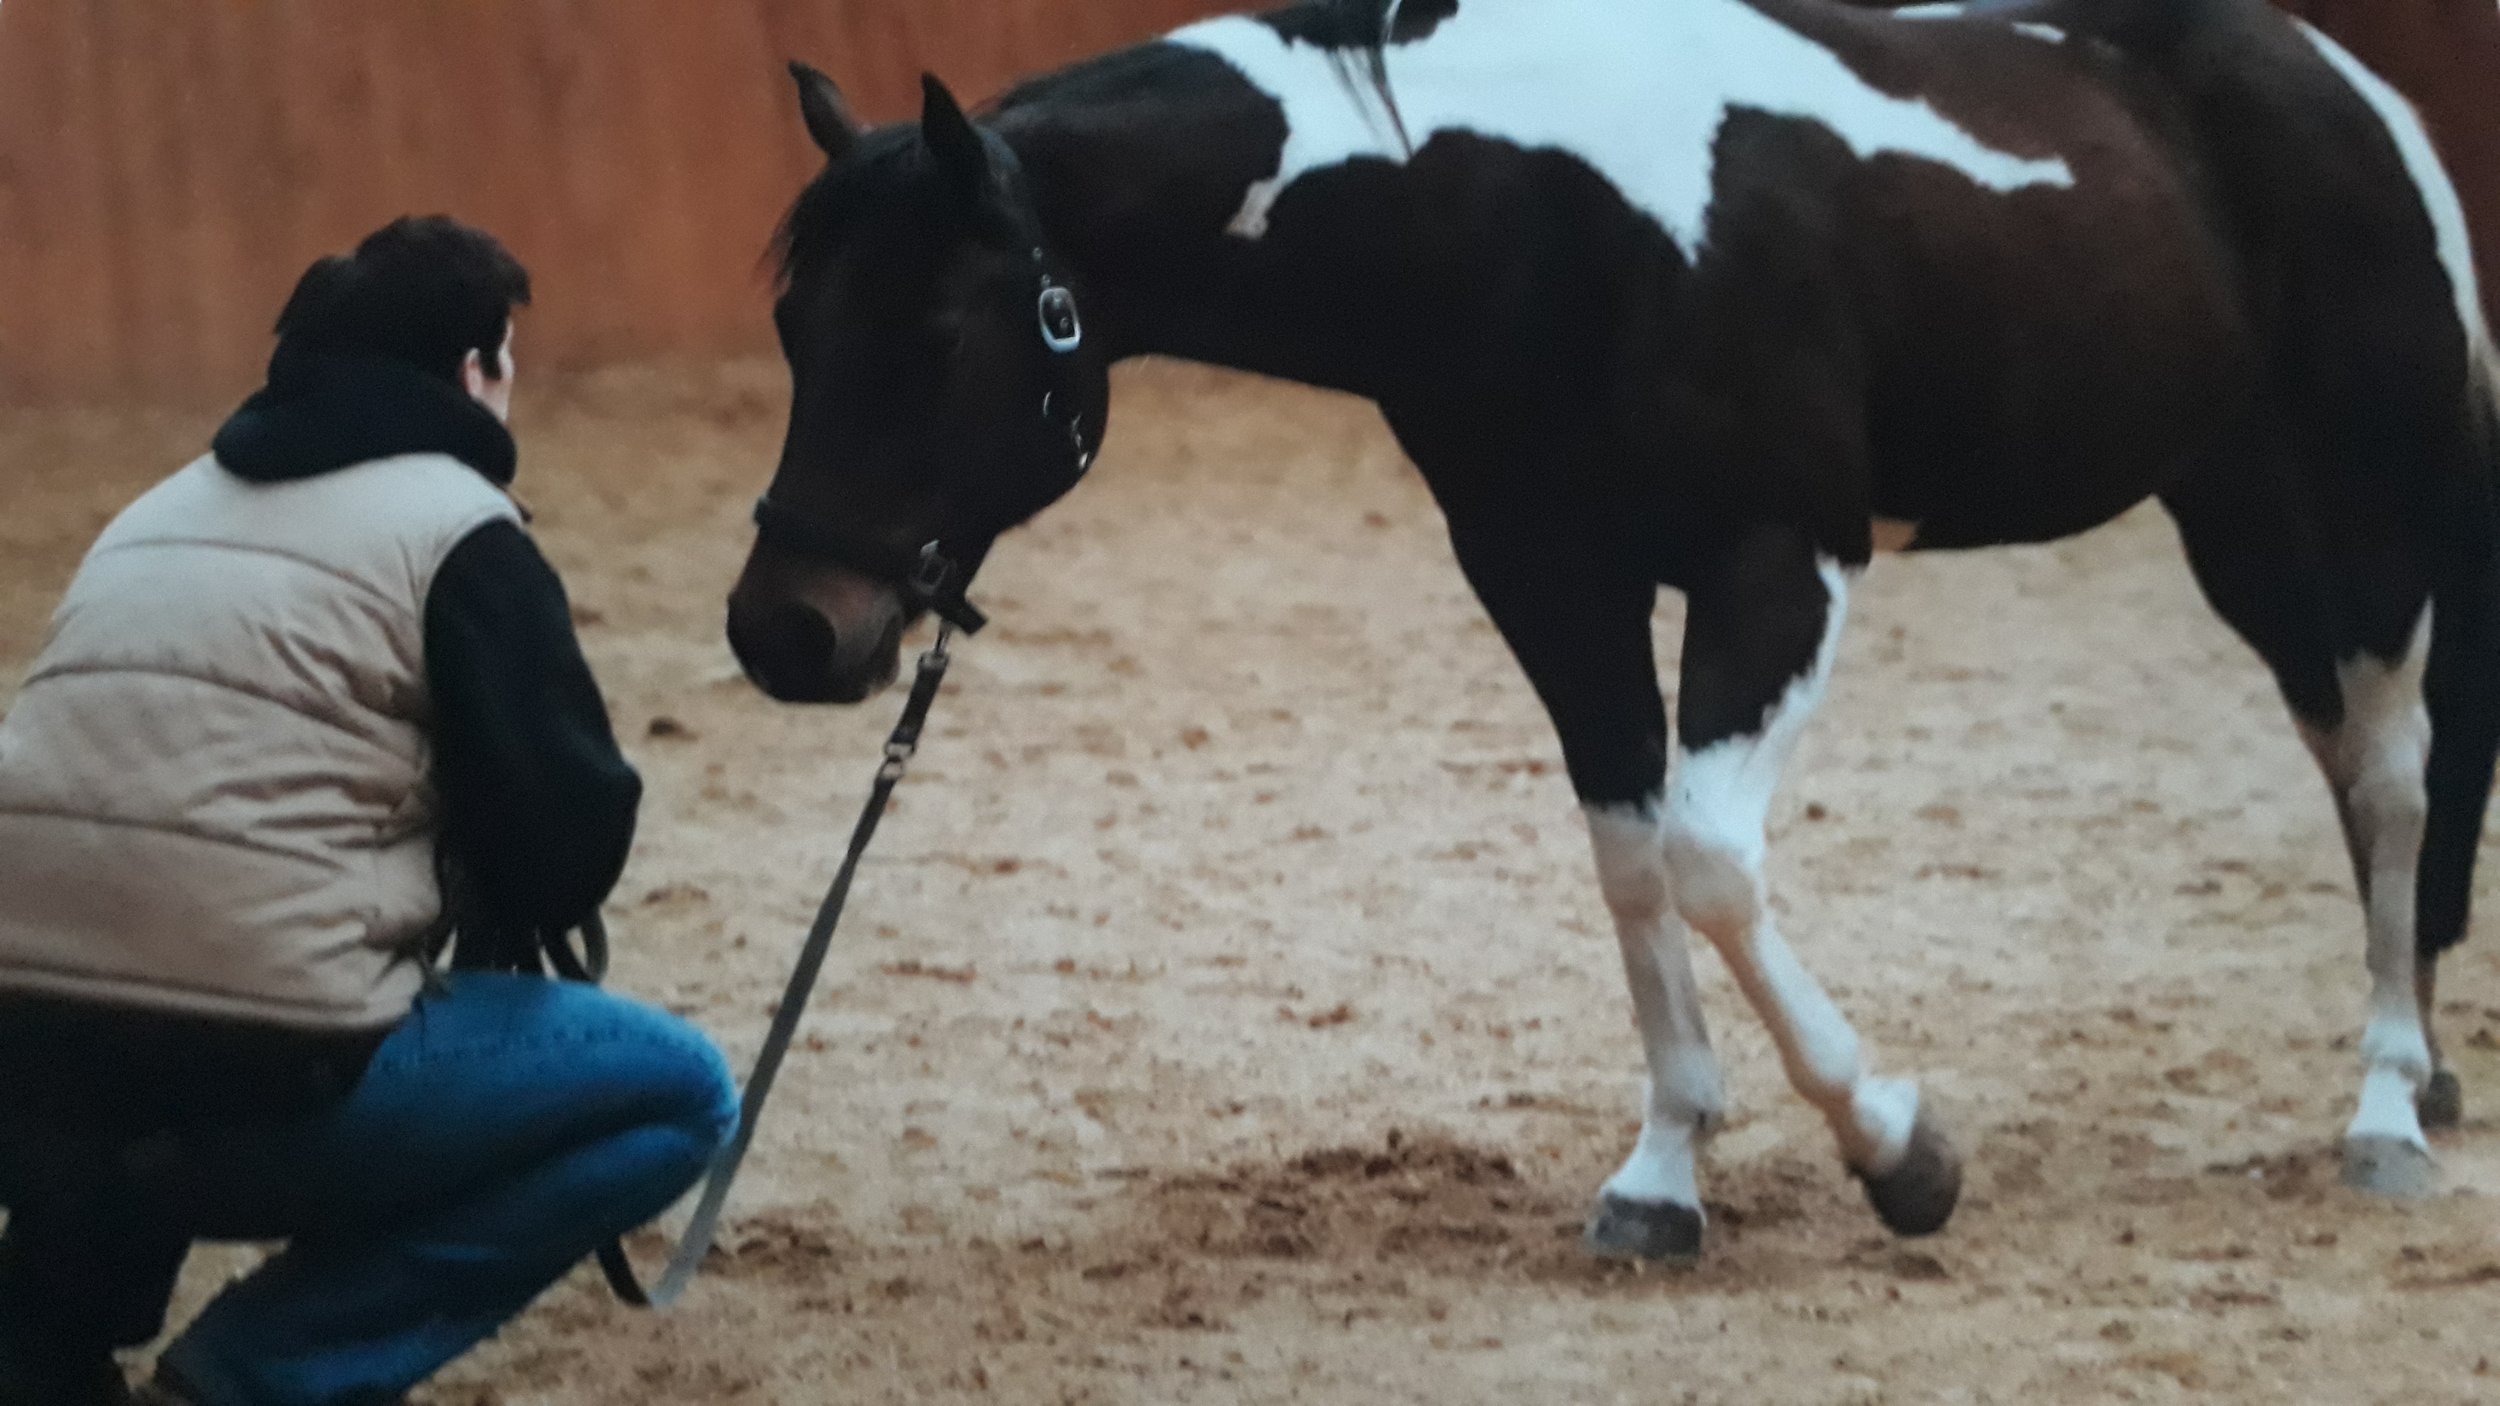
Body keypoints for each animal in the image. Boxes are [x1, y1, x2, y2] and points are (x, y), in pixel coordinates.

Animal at [725, 0, 2500, 1264]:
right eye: (796, 321)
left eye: (940, 329)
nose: (785, 632)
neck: (1527, 205)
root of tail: (2350, 80)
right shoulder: (1549, 578)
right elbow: (1632, 853)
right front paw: (1664, 1177)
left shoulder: (1778, 566)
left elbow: (1710, 858)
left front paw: (1901, 1151)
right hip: (2239, 523)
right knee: (2353, 770)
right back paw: (2418, 1065)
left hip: (2366, 515)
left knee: (2396, 769)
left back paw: (2386, 1111)